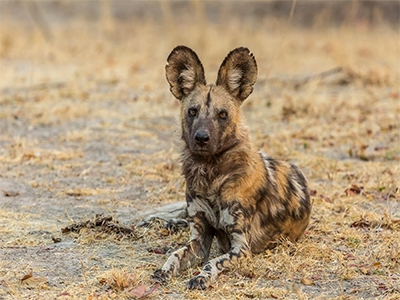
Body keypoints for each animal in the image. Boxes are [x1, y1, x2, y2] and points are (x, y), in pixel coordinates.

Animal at [152, 45, 310, 290]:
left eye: (222, 114)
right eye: (192, 111)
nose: (201, 138)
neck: (211, 174)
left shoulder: (241, 248)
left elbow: (212, 263)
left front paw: (200, 278)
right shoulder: (199, 241)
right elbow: (175, 254)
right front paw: (164, 271)